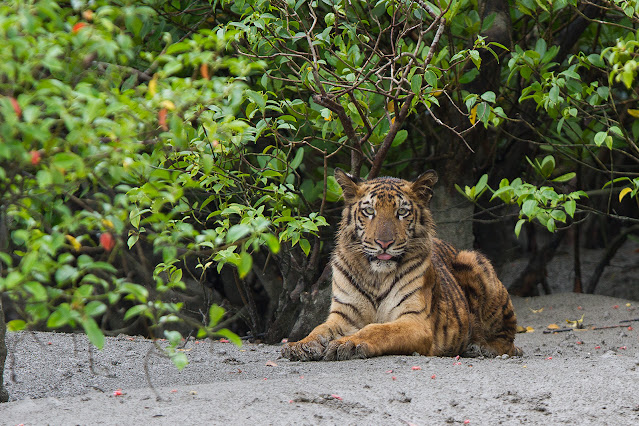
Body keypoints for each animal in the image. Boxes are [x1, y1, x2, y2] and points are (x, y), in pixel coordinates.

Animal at [282, 168, 524, 362]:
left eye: (402, 212)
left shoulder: (415, 321)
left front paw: (347, 344)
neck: (376, 277)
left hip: (473, 260)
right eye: (369, 211)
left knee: (508, 340)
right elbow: (319, 329)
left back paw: (481, 347)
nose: (384, 244)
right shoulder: (343, 316)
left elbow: (376, 330)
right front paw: (300, 345)